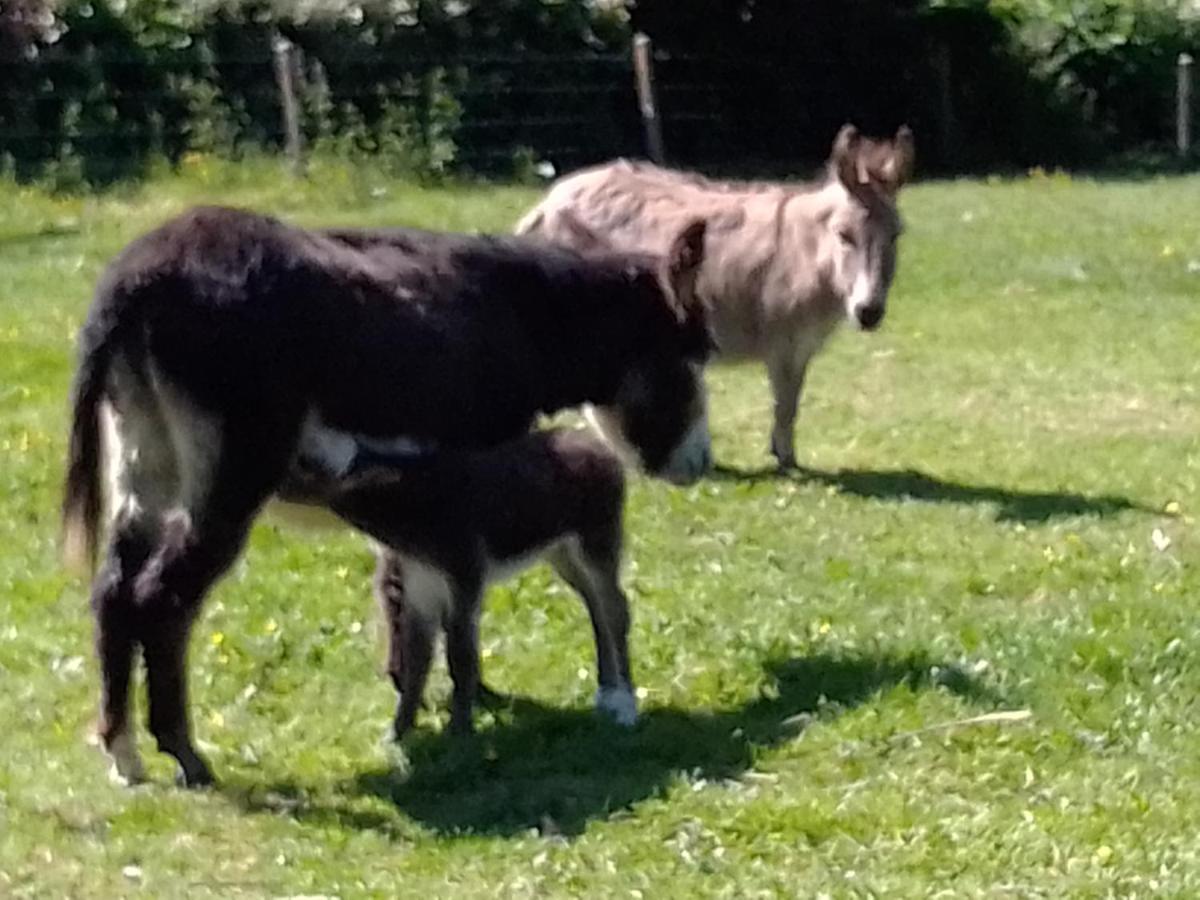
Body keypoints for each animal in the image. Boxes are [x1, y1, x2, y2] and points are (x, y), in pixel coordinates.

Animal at [284, 429, 633, 739]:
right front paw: (397, 734)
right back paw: (606, 691)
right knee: (596, 606)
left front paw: (460, 731)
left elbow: (459, 653)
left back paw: (626, 704)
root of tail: (602, 447)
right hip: (560, 553)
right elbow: (417, 659)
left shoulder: (464, 577)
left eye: (305, 462)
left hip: (598, 538)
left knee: (616, 608)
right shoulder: (418, 588)